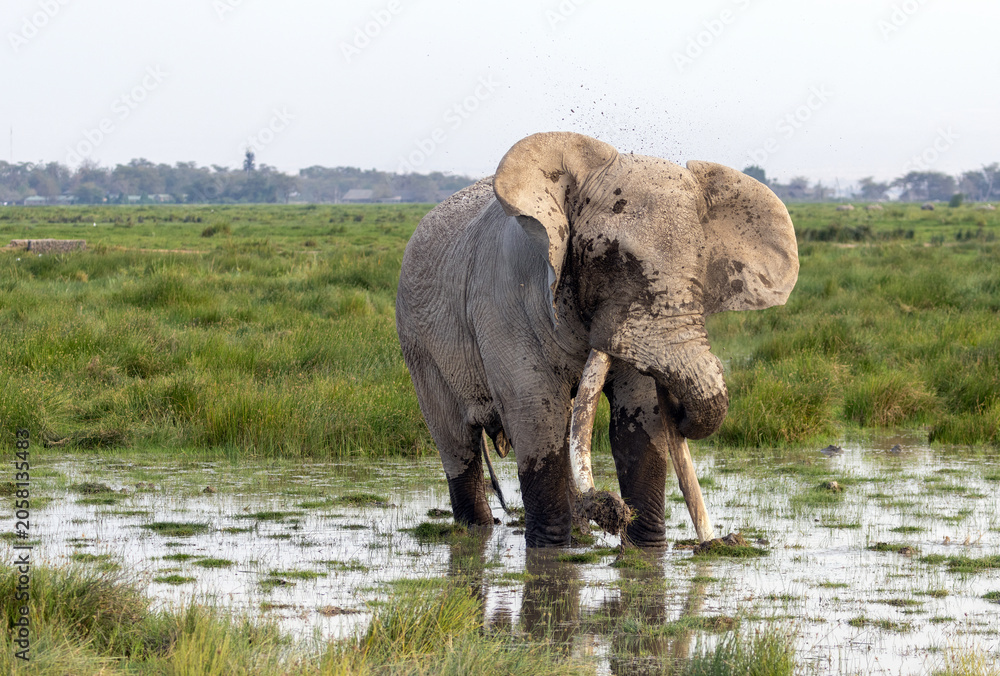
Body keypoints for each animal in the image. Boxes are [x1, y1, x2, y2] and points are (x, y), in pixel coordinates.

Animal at [396, 131, 798, 547]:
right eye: (612, 259)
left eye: (703, 267)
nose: (608, 506)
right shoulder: (504, 298)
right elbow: (536, 419)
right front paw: (551, 550)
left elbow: (639, 420)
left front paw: (644, 547)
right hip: (417, 341)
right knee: (457, 440)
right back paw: (480, 529)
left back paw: (580, 530)